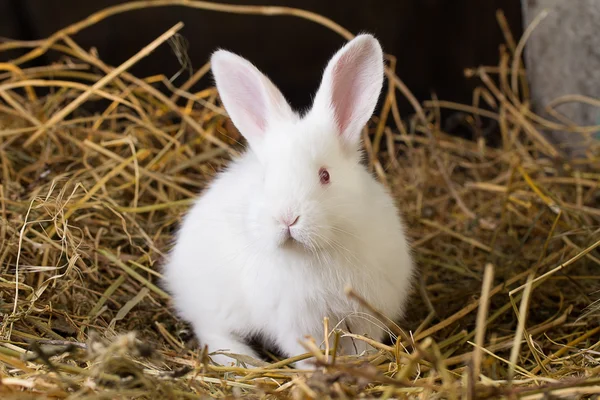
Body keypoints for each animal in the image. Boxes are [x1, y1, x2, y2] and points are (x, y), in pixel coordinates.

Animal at [164, 35, 418, 368]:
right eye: (264, 178)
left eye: (325, 175)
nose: (287, 218)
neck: (314, 253)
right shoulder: (294, 323)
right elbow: (305, 352)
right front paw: (317, 372)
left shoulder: (367, 312)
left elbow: (364, 345)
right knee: (212, 333)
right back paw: (247, 362)